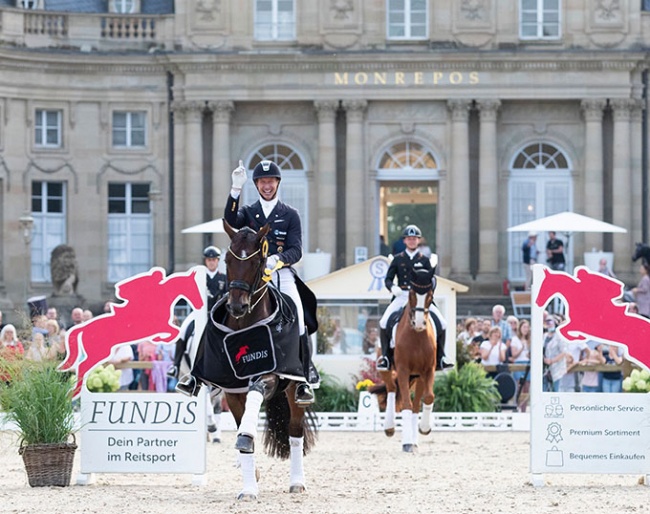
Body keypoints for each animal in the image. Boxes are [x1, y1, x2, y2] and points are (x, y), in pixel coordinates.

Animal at [191, 219, 316, 496]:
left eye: (258, 260)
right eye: (227, 259)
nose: (237, 306)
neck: (245, 325)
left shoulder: (270, 375)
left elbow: (256, 392)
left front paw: (246, 438)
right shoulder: (232, 390)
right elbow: (240, 422)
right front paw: (249, 484)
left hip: (294, 389)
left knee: (295, 431)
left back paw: (297, 482)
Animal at [374, 266, 436, 450]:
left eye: (430, 295)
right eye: (412, 294)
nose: (419, 324)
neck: (417, 336)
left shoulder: (428, 370)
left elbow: (428, 397)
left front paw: (424, 428)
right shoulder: (402, 370)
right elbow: (406, 404)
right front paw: (407, 442)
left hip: (418, 376)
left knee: (416, 405)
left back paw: (415, 439)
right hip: (386, 368)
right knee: (392, 389)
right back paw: (389, 427)